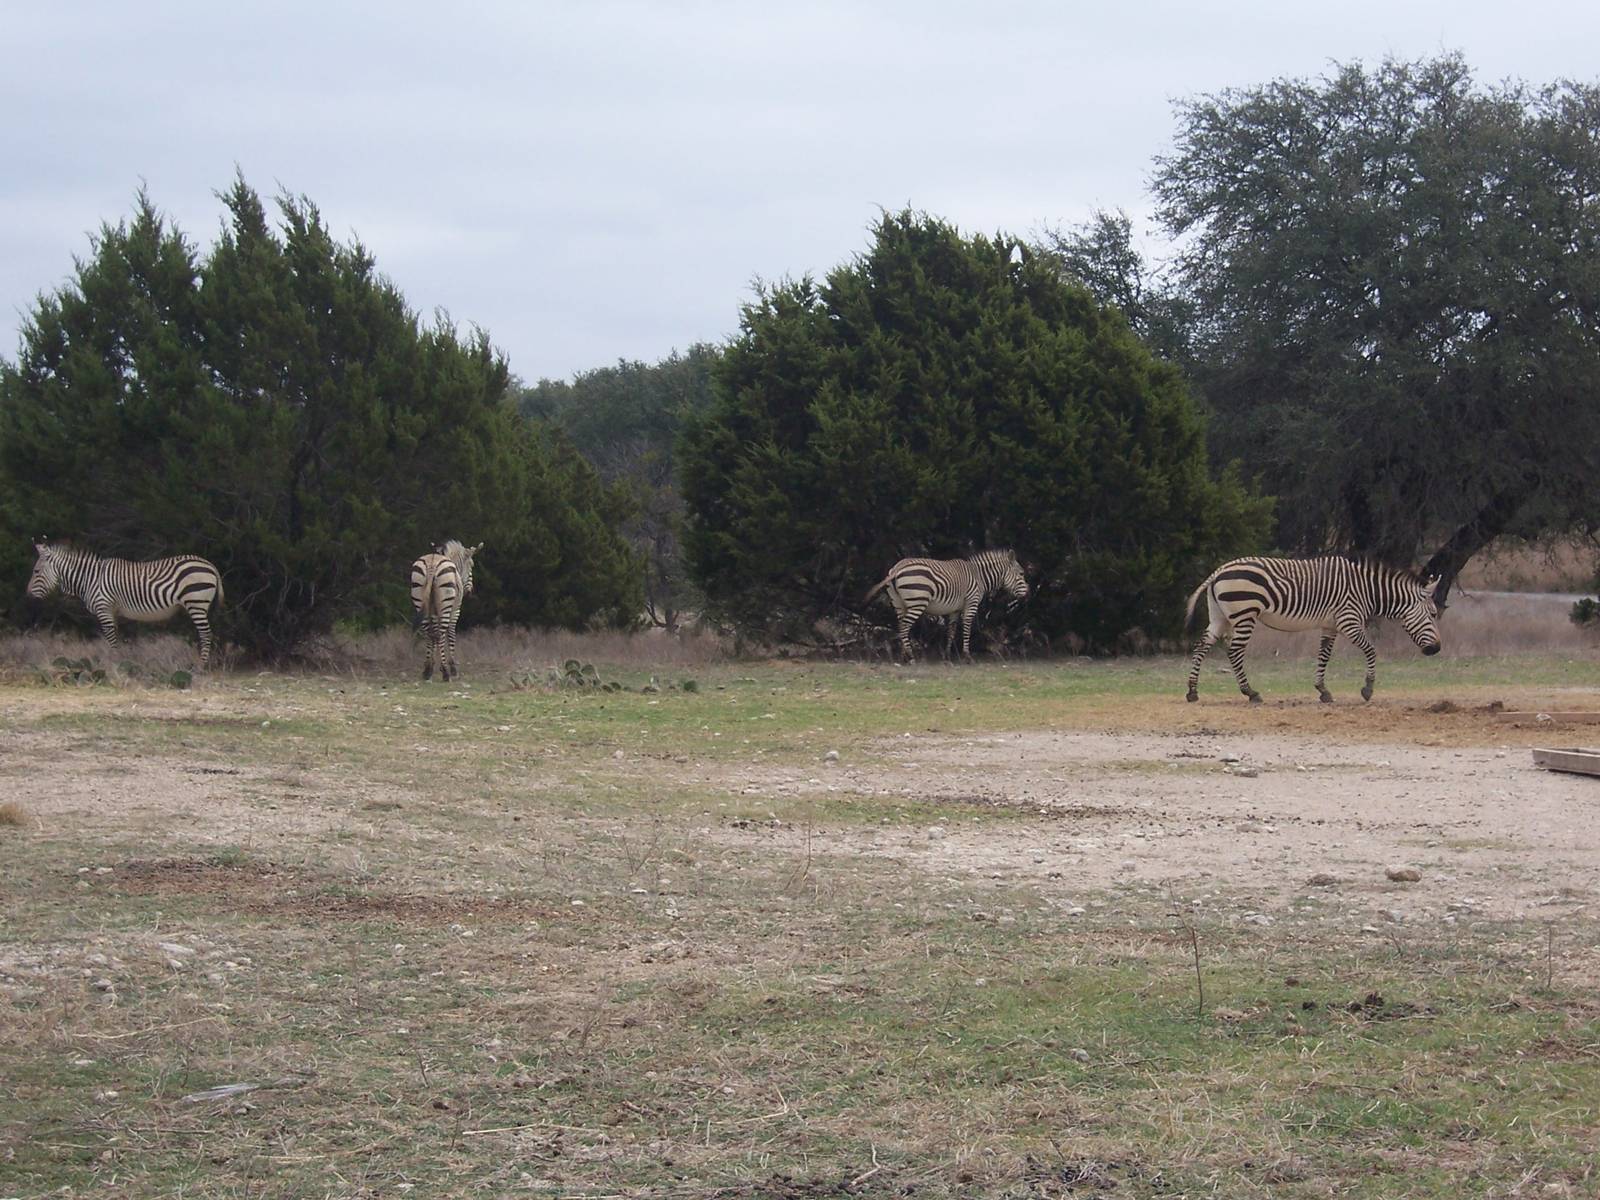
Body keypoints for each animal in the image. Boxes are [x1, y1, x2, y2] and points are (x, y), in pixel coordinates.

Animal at [26, 540, 225, 667]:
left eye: (36, 572)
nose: (27, 595)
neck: (90, 579)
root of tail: (209, 564)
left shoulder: (104, 609)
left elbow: (111, 640)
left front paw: (114, 664)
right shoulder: (113, 612)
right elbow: (117, 638)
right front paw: (119, 662)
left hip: (196, 602)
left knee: (206, 634)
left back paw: (201, 666)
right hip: (200, 604)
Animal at [410, 540, 481, 681]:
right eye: (471, 565)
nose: (470, 591)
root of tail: (432, 564)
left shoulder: (433, 612)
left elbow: (432, 636)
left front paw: (430, 665)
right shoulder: (455, 611)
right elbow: (451, 635)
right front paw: (452, 667)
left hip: (419, 598)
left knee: (429, 633)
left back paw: (427, 671)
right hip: (446, 605)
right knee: (440, 635)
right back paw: (446, 673)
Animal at [864, 549, 1029, 662]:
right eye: (1021, 574)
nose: (1028, 593)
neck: (979, 577)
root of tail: (897, 568)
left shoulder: (955, 609)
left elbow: (951, 630)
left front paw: (947, 655)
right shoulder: (971, 603)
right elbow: (967, 628)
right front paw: (967, 656)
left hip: (899, 603)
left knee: (900, 625)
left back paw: (902, 656)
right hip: (918, 602)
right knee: (904, 627)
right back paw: (910, 657)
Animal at [1184, 555, 1441, 704]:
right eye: (1433, 614)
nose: (1437, 649)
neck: (1367, 591)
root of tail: (1219, 571)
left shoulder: (1330, 625)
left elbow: (1324, 656)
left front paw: (1323, 690)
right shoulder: (1348, 620)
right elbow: (1370, 650)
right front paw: (1367, 689)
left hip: (1219, 616)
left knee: (1202, 645)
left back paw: (1192, 691)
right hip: (1245, 613)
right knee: (1235, 651)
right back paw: (1251, 693)